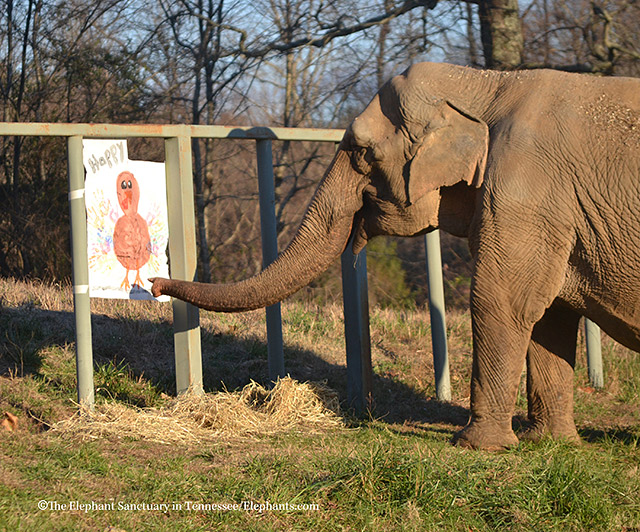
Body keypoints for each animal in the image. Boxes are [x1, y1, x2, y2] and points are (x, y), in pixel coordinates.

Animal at [151, 64, 640, 450]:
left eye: (361, 151)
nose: (154, 284)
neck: (488, 81)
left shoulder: (527, 192)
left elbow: (502, 300)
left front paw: (476, 446)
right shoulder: (554, 210)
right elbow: (550, 315)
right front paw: (553, 444)